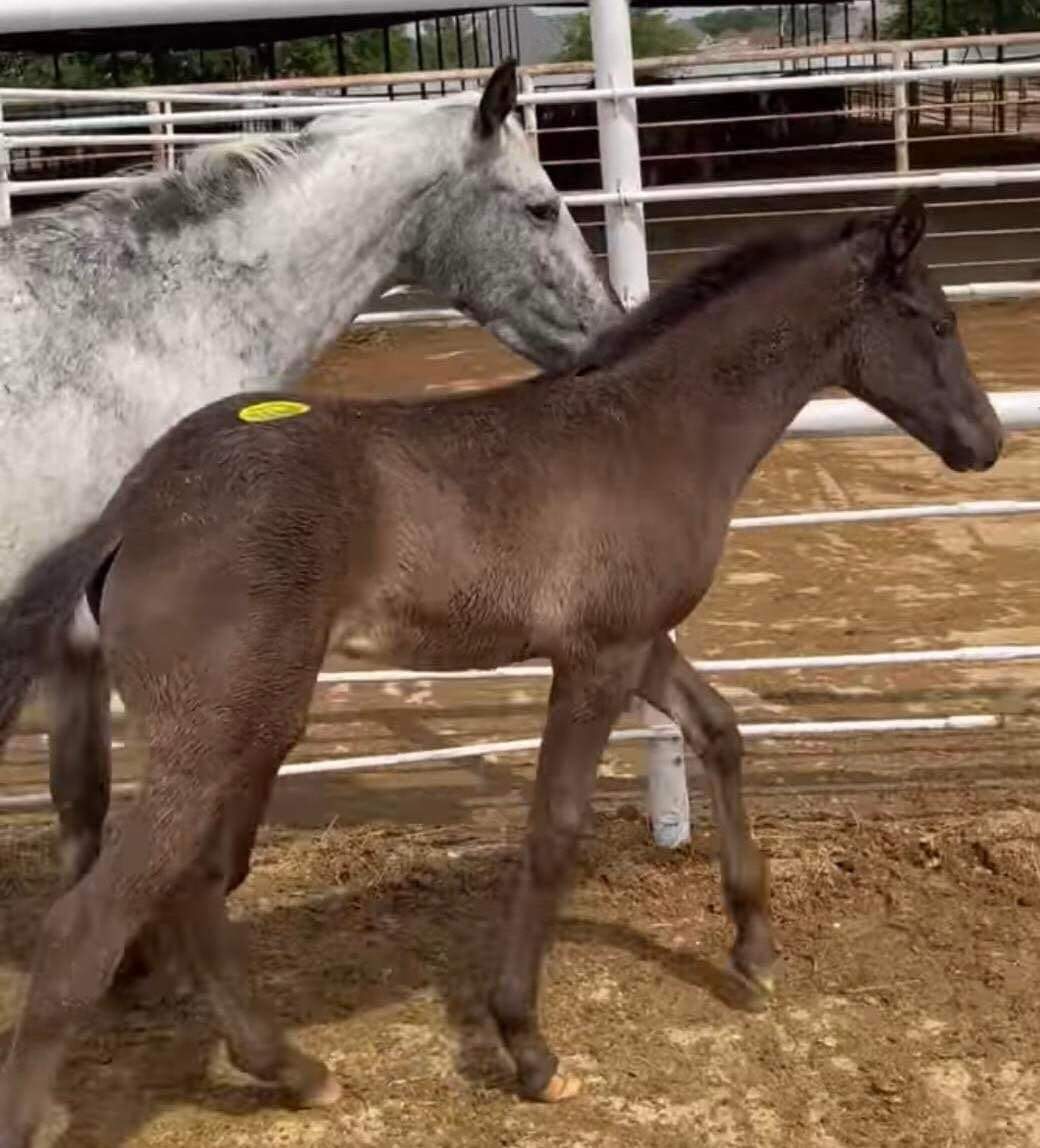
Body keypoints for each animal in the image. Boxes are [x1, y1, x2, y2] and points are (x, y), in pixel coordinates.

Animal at [0, 195, 1002, 1143]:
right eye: (937, 321)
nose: (986, 441)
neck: (658, 428)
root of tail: (130, 510)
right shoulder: (597, 658)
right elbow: (554, 828)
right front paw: (527, 1044)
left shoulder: (640, 642)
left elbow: (720, 730)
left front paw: (753, 949)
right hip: (221, 728)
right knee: (90, 924)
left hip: (253, 726)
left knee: (196, 883)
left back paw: (295, 1070)